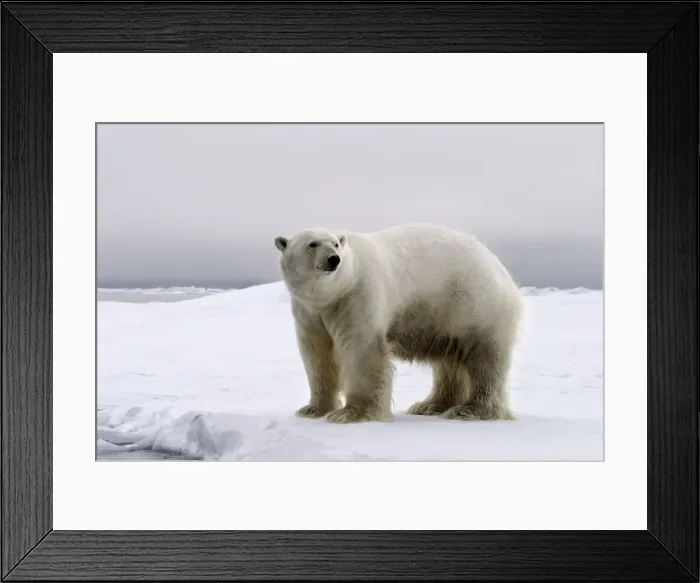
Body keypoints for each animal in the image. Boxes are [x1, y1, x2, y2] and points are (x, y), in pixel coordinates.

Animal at [274, 223, 523, 424]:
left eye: (335, 243)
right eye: (312, 244)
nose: (334, 259)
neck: (333, 293)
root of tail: (501, 269)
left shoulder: (358, 296)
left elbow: (361, 350)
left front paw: (351, 413)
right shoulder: (309, 312)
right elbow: (317, 354)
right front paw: (313, 409)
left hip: (475, 306)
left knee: (485, 359)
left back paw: (470, 410)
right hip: (447, 317)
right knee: (450, 361)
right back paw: (430, 405)